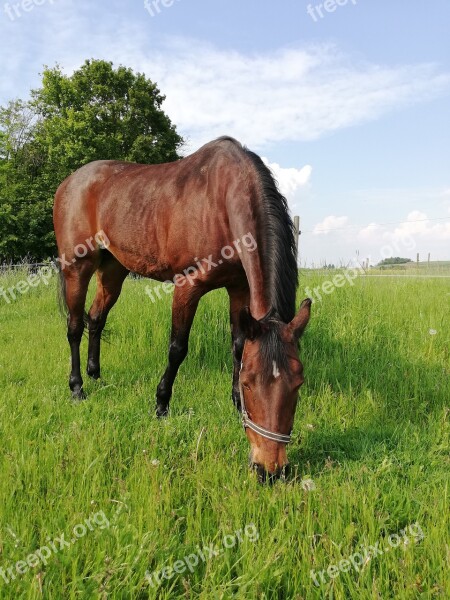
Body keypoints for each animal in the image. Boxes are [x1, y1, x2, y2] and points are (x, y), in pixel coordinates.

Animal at [52, 137, 312, 482]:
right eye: (250, 382)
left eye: (298, 382)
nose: (270, 470)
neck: (221, 200)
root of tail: (68, 183)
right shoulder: (187, 286)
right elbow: (177, 348)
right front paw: (161, 405)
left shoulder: (239, 289)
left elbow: (238, 346)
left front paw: (234, 404)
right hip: (76, 268)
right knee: (74, 327)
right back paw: (77, 387)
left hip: (113, 269)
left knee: (96, 318)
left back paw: (95, 375)